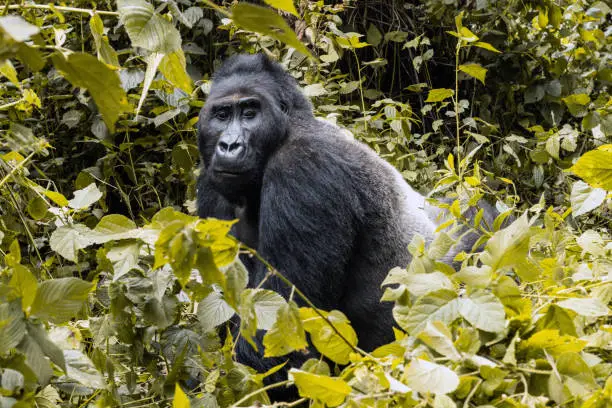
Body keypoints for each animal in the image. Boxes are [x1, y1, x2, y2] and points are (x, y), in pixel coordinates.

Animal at [197, 52, 478, 396]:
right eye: (222, 115)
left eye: (250, 113)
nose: (229, 145)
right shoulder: (211, 184)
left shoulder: (303, 168)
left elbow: (282, 336)